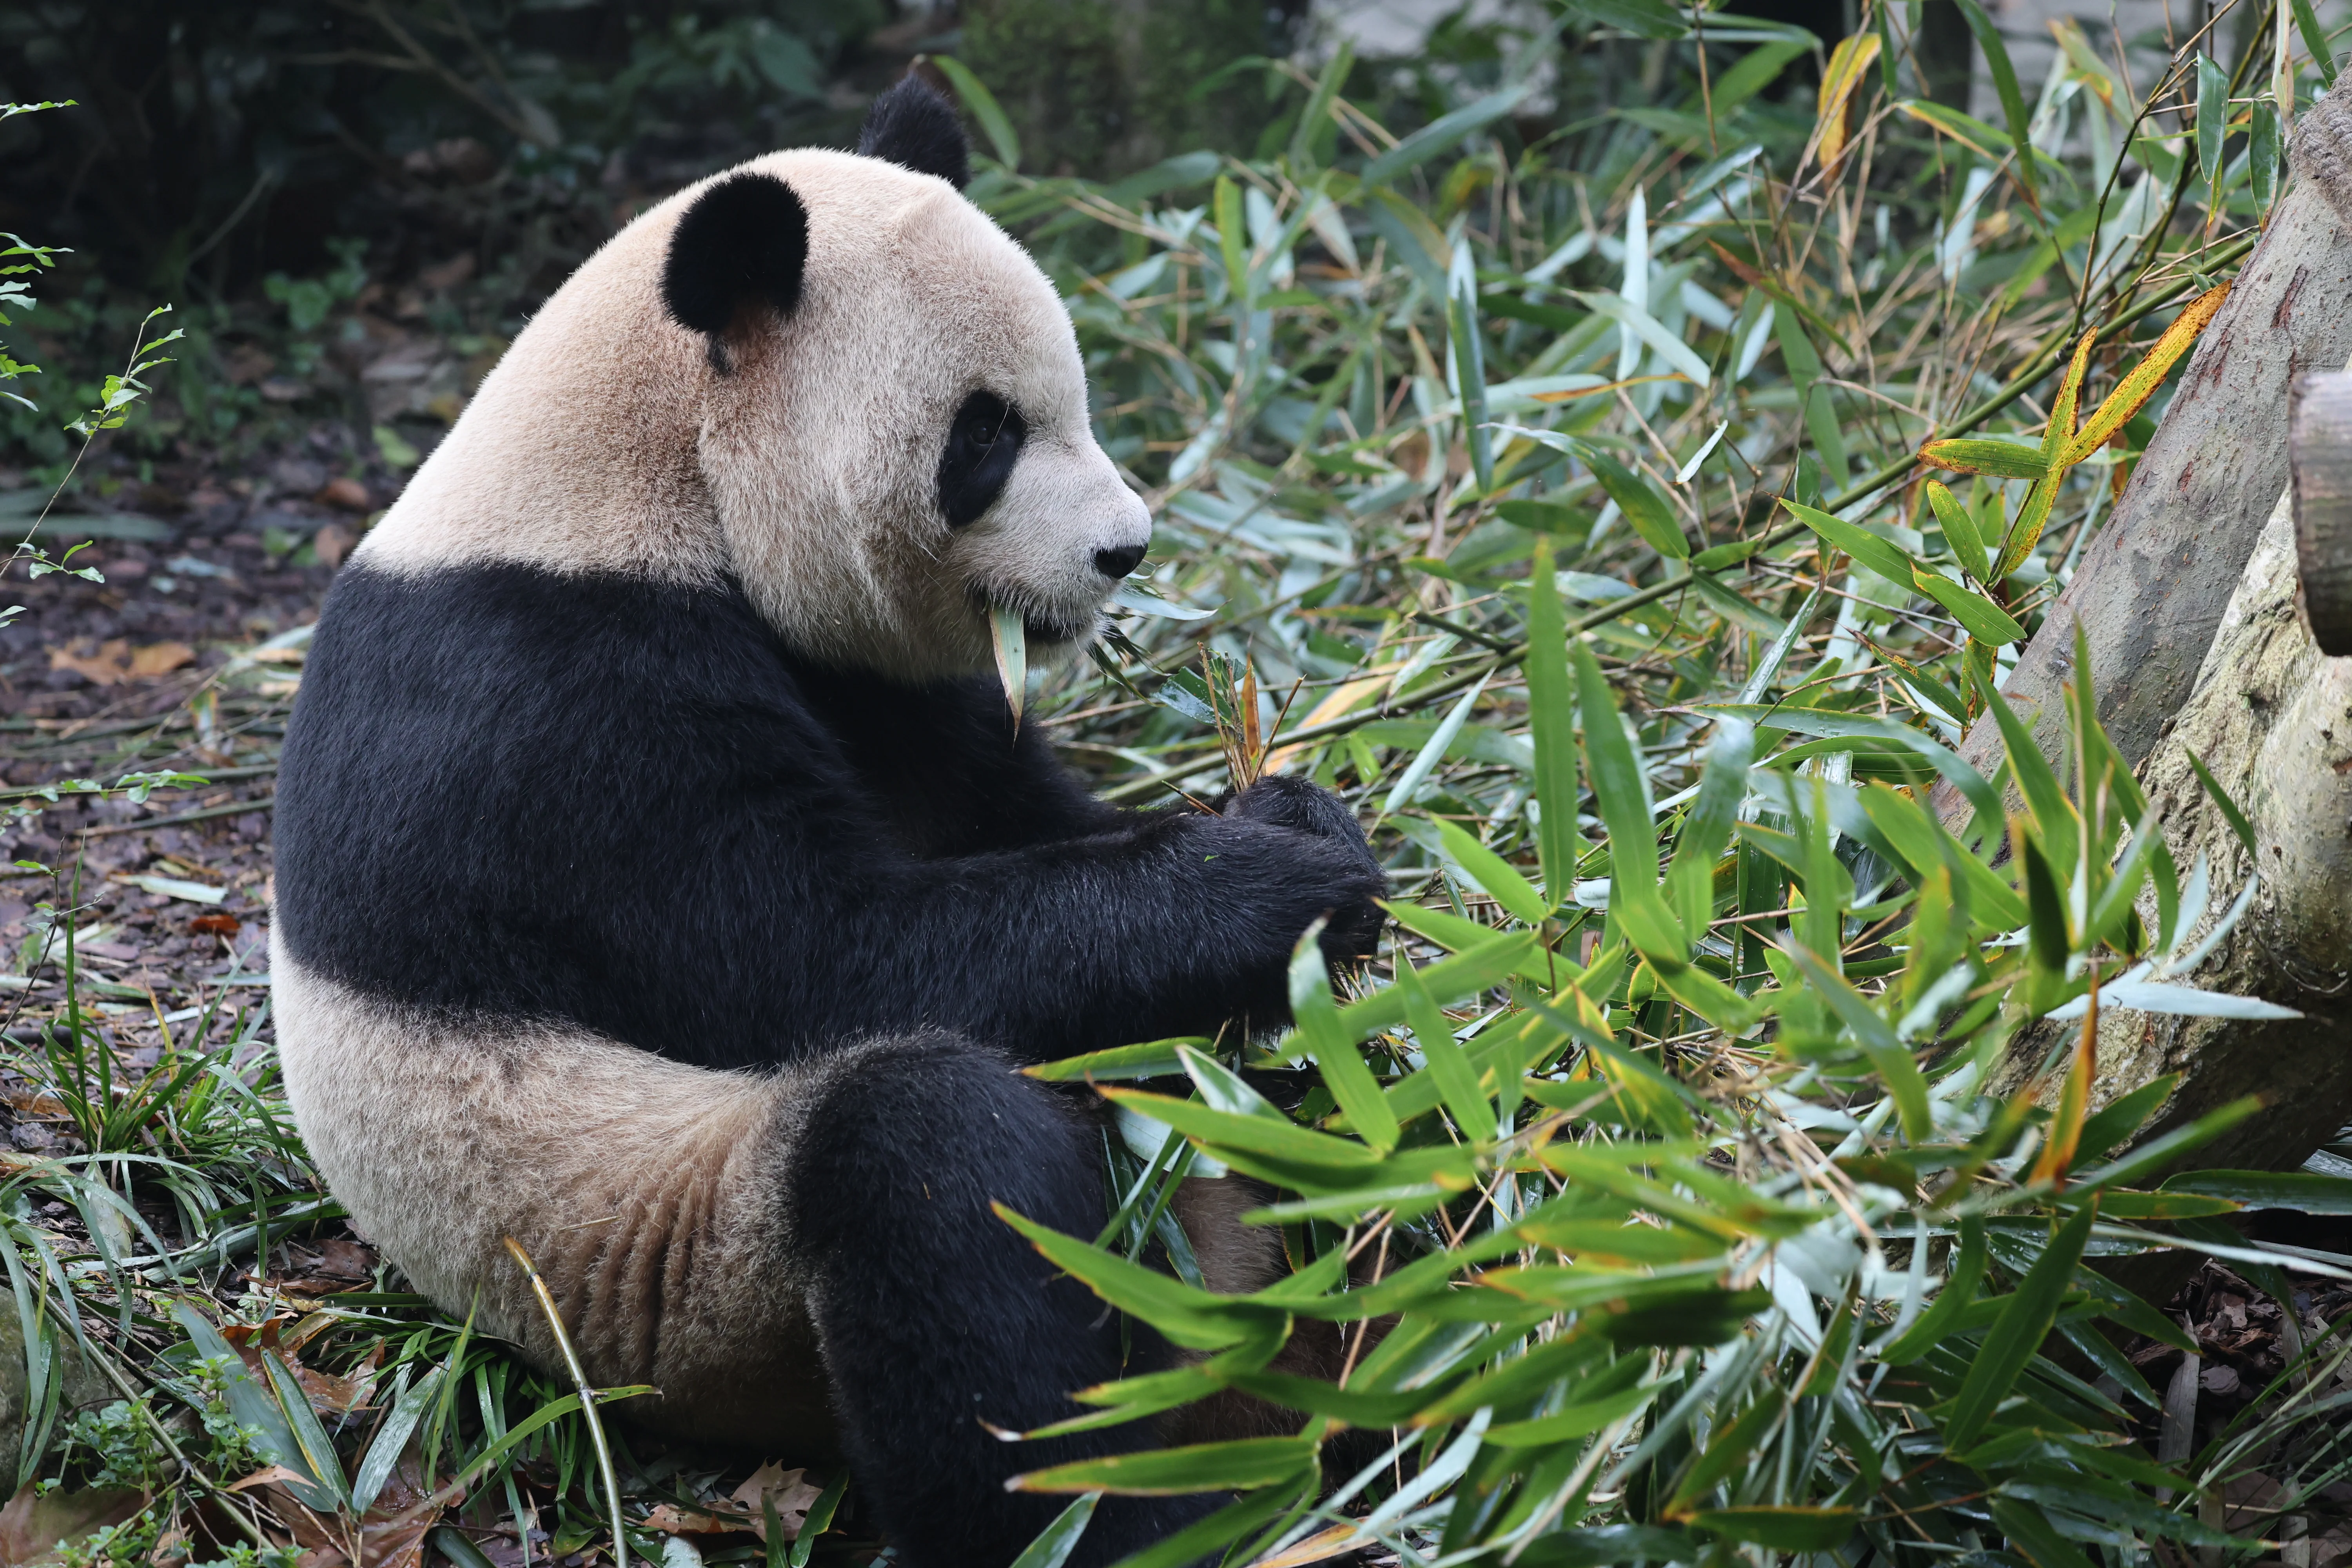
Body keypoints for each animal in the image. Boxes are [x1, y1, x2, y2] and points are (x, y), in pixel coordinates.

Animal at [270, 77, 1386, 1568]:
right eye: (986, 436)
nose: (1125, 549)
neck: (648, 475)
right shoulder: (548, 704)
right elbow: (821, 954)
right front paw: (1271, 882)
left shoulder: (889, 684)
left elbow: (1004, 825)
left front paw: (1301, 813)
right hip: (677, 1271)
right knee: (926, 1174)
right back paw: (1139, 1512)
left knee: (1351, 1136)